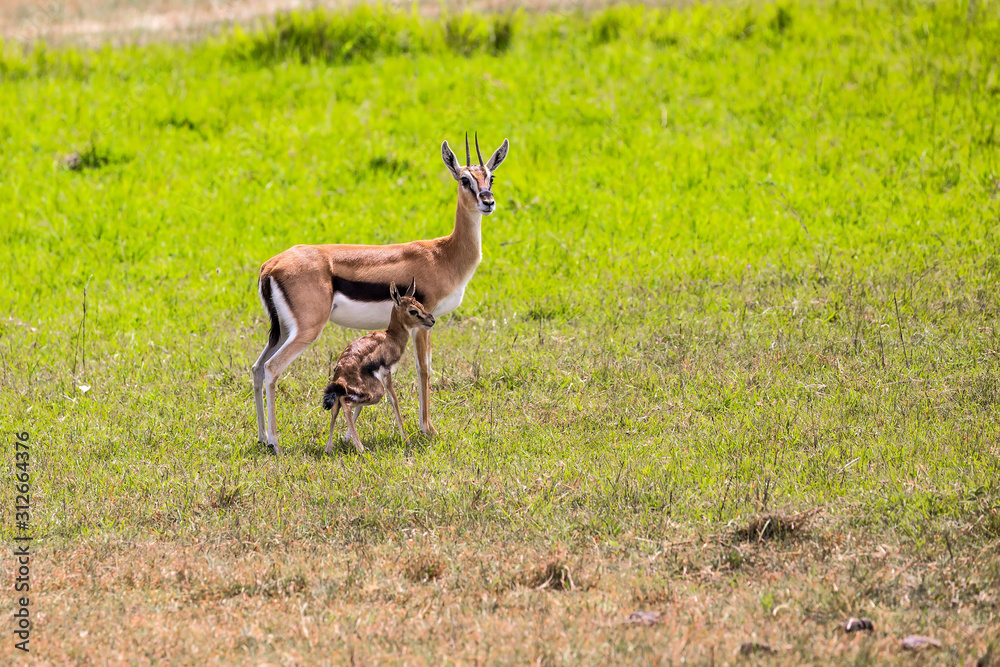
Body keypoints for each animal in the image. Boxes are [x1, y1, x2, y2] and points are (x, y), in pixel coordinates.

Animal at [322, 279, 435, 452]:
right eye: (413, 310)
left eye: (421, 305)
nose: (431, 320)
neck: (390, 338)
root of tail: (340, 375)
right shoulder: (386, 373)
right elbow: (394, 400)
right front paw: (406, 440)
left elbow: (359, 409)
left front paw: (346, 438)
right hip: (376, 392)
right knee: (346, 404)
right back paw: (361, 449)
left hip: (355, 392)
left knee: (337, 404)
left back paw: (329, 448)